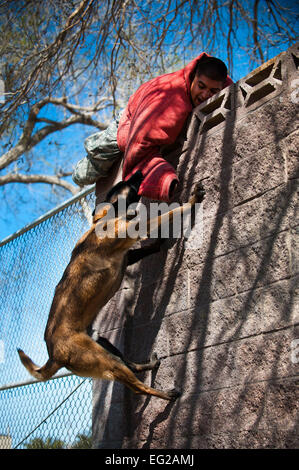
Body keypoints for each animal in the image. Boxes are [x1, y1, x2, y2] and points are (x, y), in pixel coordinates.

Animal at [18, 173, 206, 400]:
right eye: (127, 184)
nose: (137, 173)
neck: (107, 218)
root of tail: (55, 356)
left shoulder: (127, 255)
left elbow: (148, 246)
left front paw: (159, 241)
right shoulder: (133, 232)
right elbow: (170, 213)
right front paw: (192, 201)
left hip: (103, 343)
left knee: (130, 365)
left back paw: (148, 365)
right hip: (106, 360)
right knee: (137, 387)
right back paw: (165, 394)